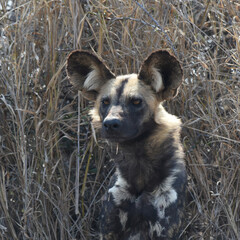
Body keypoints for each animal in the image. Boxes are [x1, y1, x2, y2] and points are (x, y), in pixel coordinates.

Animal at [66, 49, 187, 239]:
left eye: (136, 102)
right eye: (105, 102)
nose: (110, 124)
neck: (139, 165)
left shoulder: (162, 227)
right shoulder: (109, 226)